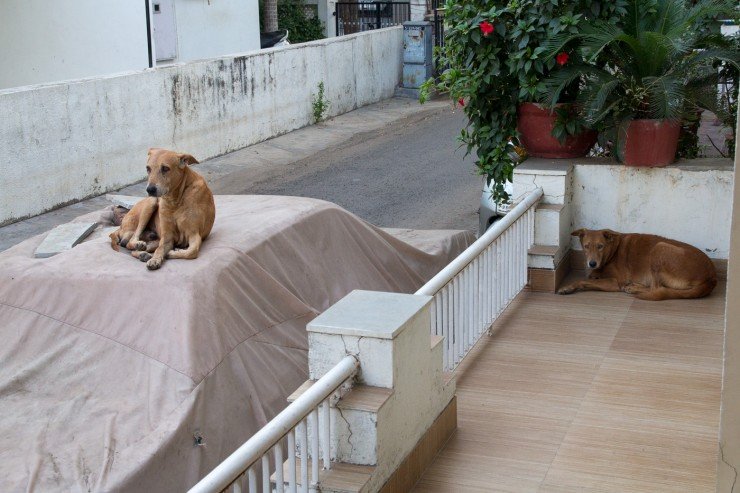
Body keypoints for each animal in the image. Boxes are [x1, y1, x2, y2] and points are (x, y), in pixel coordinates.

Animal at [556, 229, 712, 302]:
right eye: (586, 246)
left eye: (600, 246)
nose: (592, 263)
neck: (612, 251)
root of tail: (712, 277)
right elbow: (590, 278)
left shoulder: (615, 282)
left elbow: (583, 280)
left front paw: (567, 287)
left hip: (659, 248)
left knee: (657, 289)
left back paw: (634, 288)